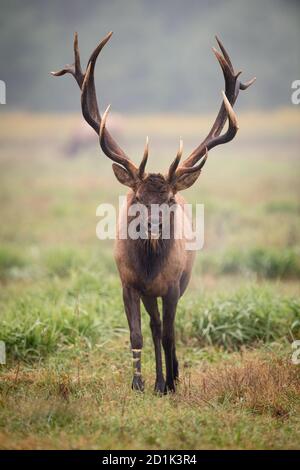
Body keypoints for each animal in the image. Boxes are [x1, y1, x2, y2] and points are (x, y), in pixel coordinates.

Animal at [52, 32, 254, 392]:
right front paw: (139, 383)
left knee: (166, 328)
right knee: (155, 326)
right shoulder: (128, 283)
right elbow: (137, 334)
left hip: (182, 281)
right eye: (137, 197)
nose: (154, 226)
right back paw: (159, 381)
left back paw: (171, 377)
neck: (148, 267)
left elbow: (172, 333)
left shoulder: (172, 285)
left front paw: (172, 382)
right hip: (149, 294)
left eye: (169, 199)